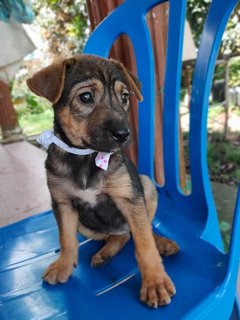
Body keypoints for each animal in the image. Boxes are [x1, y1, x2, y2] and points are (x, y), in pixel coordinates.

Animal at [27, 54, 179, 308]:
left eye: (125, 97)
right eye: (86, 97)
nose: (124, 135)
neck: (85, 157)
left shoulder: (129, 198)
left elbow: (144, 243)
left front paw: (155, 283)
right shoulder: (62, 204)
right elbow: (66, 240)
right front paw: (63, 267)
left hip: (146, 185)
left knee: (141, 230)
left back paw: (163, 243)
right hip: (86, 226)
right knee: (121, 235)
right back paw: (104, 253)